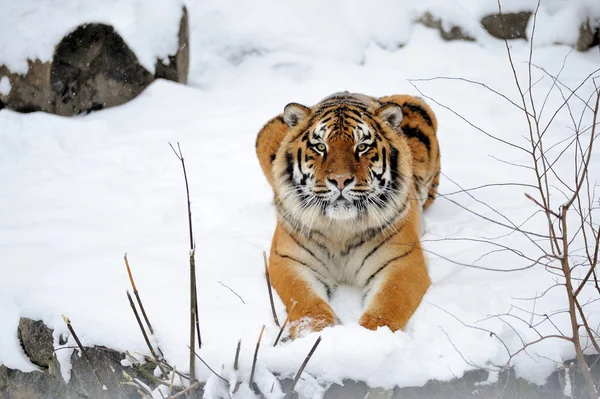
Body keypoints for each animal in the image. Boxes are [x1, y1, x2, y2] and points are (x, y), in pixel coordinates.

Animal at [254, 92, 440, 340]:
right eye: (320, 146)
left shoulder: (402, 261)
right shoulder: (289, 260)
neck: (340, 229)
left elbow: (388, 302)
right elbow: (305, 303)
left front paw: (371, 337)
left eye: (362, 147)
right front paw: (317, 335)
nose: (340, 180)